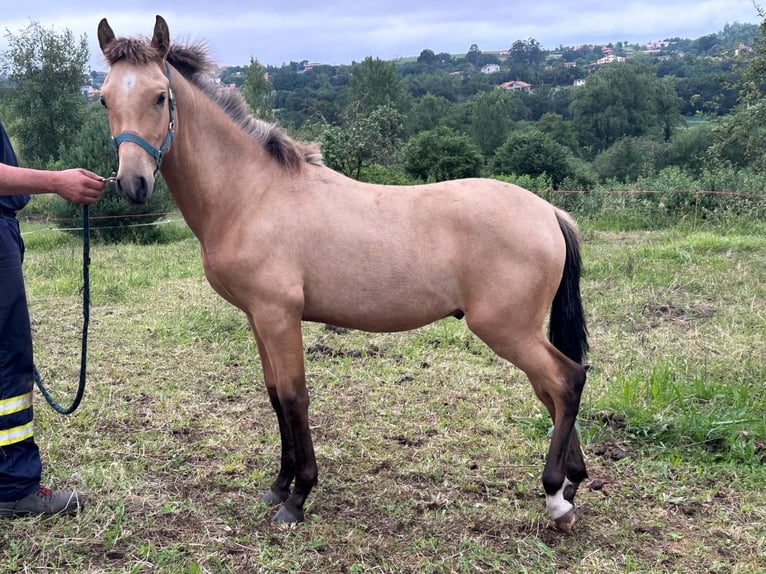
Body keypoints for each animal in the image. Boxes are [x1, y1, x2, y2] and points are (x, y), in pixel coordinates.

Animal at [97, 14, 592, 536]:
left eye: (159, 96)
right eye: (105, 98)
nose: (133, 185)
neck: (251, 194)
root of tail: (549, 212)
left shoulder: (279, 316)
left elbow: (294, 398)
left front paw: (298, 497)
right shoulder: (258, 319)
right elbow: (274, 397)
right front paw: (279, 485)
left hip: (506, 328)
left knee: (567, 381)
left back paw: (555, 497)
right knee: (552, 390)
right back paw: (572, 485)